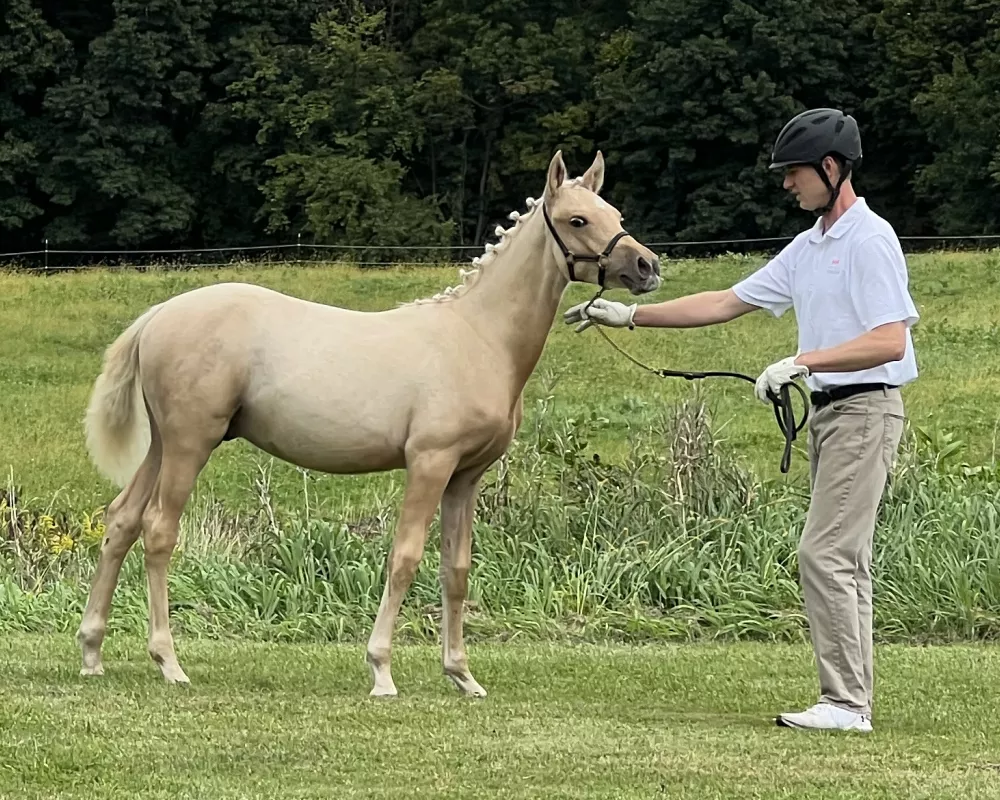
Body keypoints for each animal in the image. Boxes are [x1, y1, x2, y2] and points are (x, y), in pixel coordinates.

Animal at [78, 148, 664, 692]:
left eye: (614, 212)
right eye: (578, 220)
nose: (647, 267)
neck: (478, 336)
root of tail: (160, 313)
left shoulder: (466, 476)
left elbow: (456, 569)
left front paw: (461, 674)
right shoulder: (429, 463)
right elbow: (405, 557)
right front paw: (381, 670)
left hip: (164, 445)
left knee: (122, 520)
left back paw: (91, 652)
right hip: (190, 444)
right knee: (159, 528)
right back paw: (168, 662)